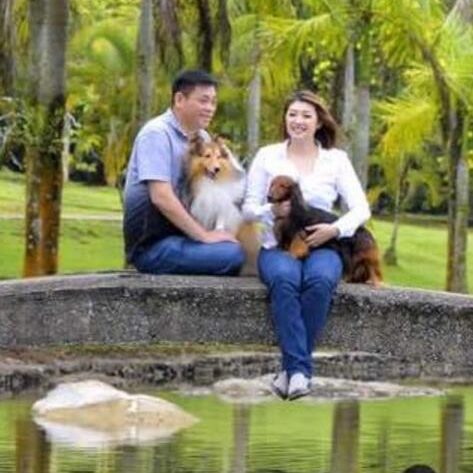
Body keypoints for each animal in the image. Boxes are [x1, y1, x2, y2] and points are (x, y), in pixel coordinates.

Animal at [183, 134, 259, 275]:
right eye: (207, 155)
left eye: (219, 157)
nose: (217, 169)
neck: (211, 182)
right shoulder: (199, 205)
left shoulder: (224, 203)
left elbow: (220, 218)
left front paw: (219, 230)